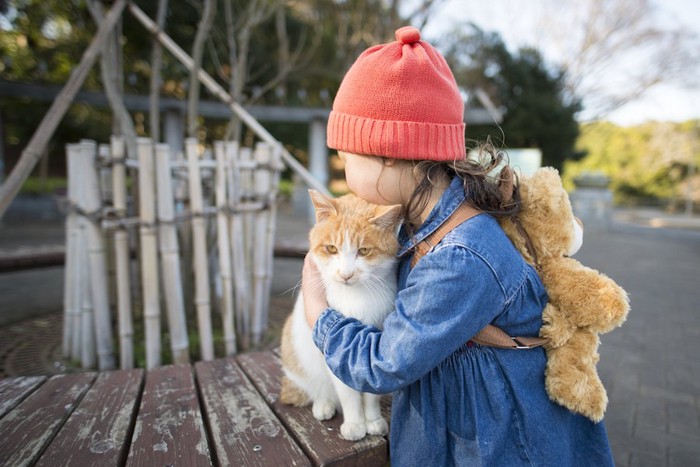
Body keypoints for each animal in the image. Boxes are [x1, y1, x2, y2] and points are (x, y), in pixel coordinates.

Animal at [278, 190, 400, 442]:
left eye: (363, 251)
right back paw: (324, 405)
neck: (355, 297)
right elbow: (348, 393)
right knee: (317, 388)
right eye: (332, 249)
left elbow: (371, 393)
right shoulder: (334, 351)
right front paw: (355, 423)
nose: (346, 274)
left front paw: (372, 420)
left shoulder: (374, 347)